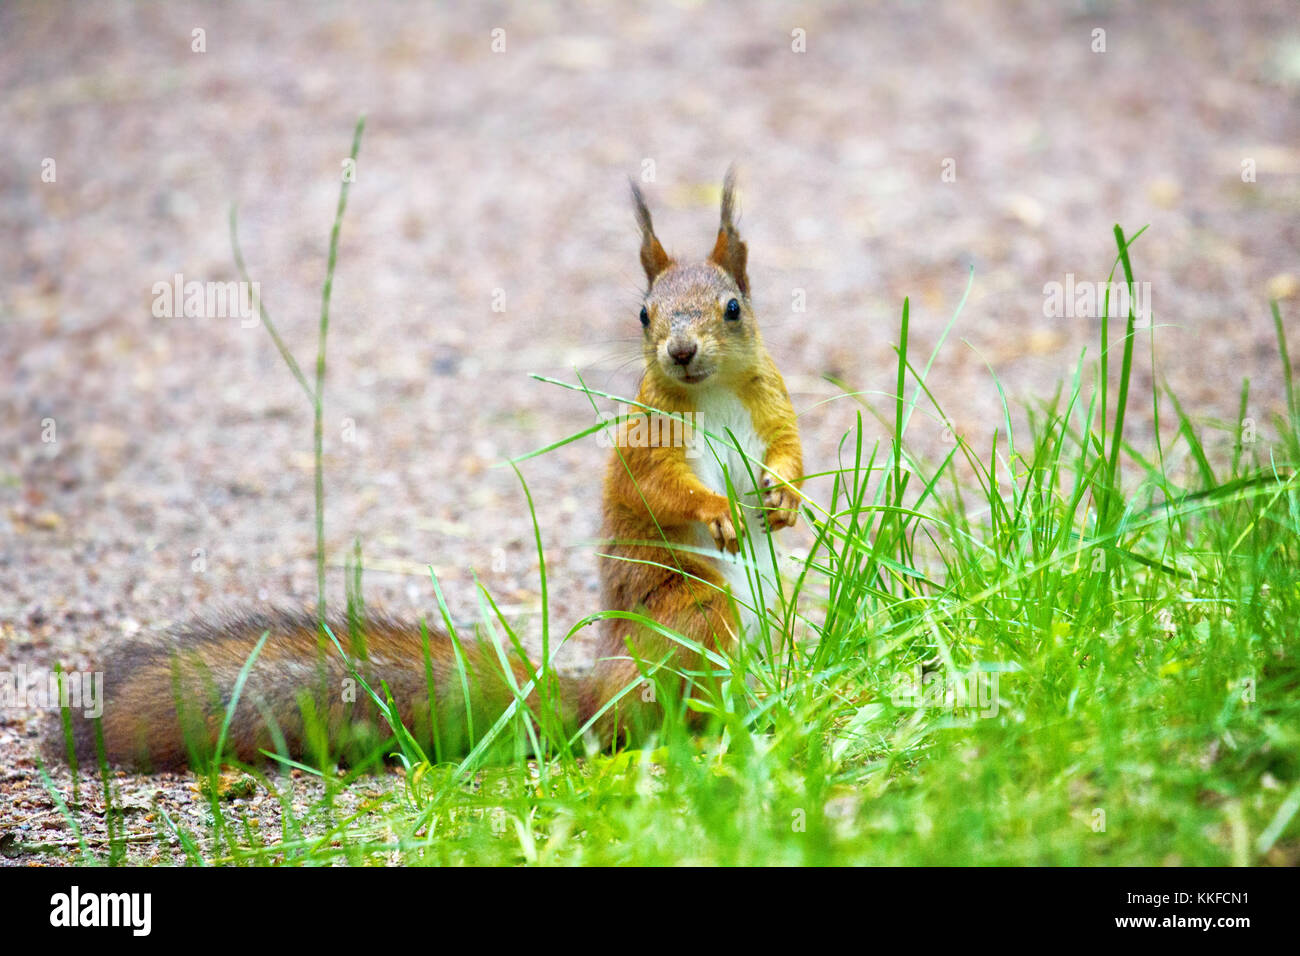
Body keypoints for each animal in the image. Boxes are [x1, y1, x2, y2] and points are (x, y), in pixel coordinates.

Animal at [61, 170, 800, 770]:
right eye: (644, 314)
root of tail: (602, 692)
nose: (680, 351)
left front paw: (785, 499)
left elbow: (791, 453)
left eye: (733, 308)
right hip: (698, 609)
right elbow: (659, 488)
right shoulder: (650, 438)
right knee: (660, 714)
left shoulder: (774, 406)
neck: (712, 392)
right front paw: (715, 510)